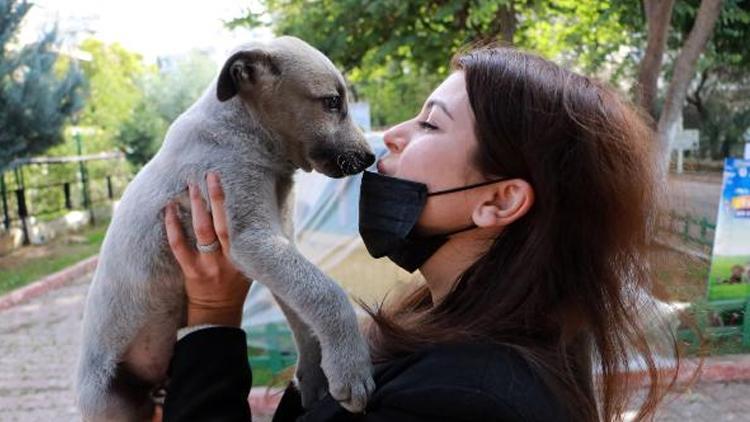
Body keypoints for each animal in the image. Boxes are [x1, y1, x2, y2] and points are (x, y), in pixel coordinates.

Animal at [78, 37, 376, 422]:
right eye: (332, 102)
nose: (370, 157)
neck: (242, 133)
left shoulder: (279, 242)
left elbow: (303, 312)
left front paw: (314, 378)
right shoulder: (250, 238)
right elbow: (326, 293)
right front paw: (351, 369)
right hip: (112, 404)